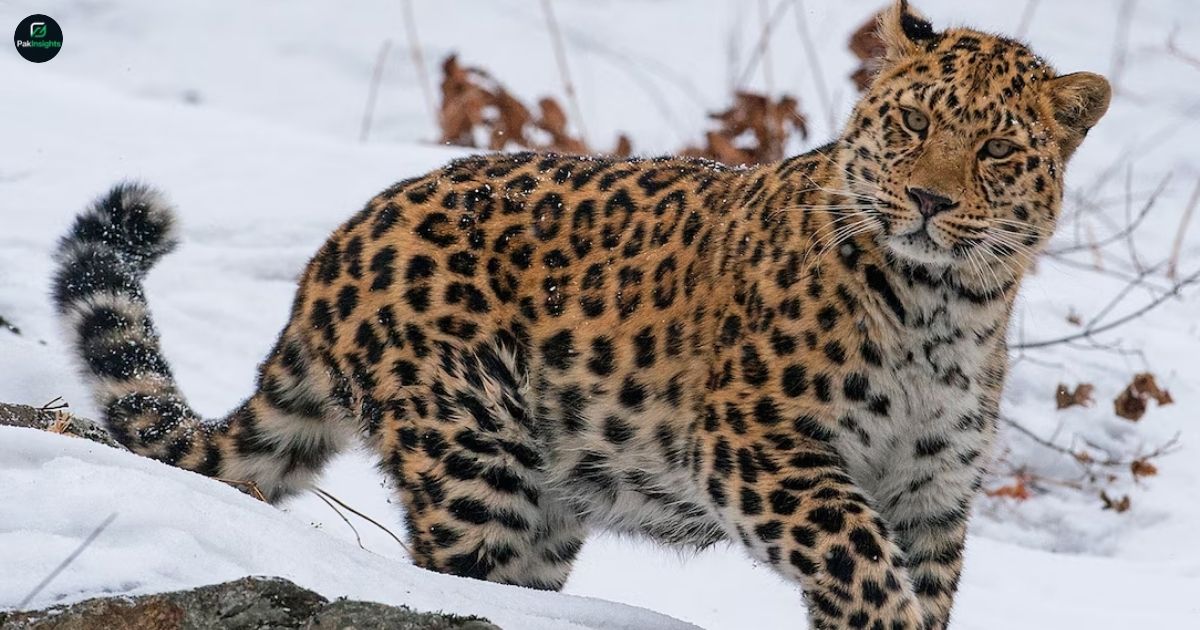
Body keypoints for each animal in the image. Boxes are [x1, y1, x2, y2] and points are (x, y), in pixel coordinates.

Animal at [51, 2, 1109, 628]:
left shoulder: (932, 495)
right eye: (914, 125)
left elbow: (912, 585)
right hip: (476, 459)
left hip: (549, 503)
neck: (945, 307)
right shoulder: (762, 446)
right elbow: (859, 565)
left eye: (997, 152)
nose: (928, 201)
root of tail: (336, 248)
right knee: (450, 578)